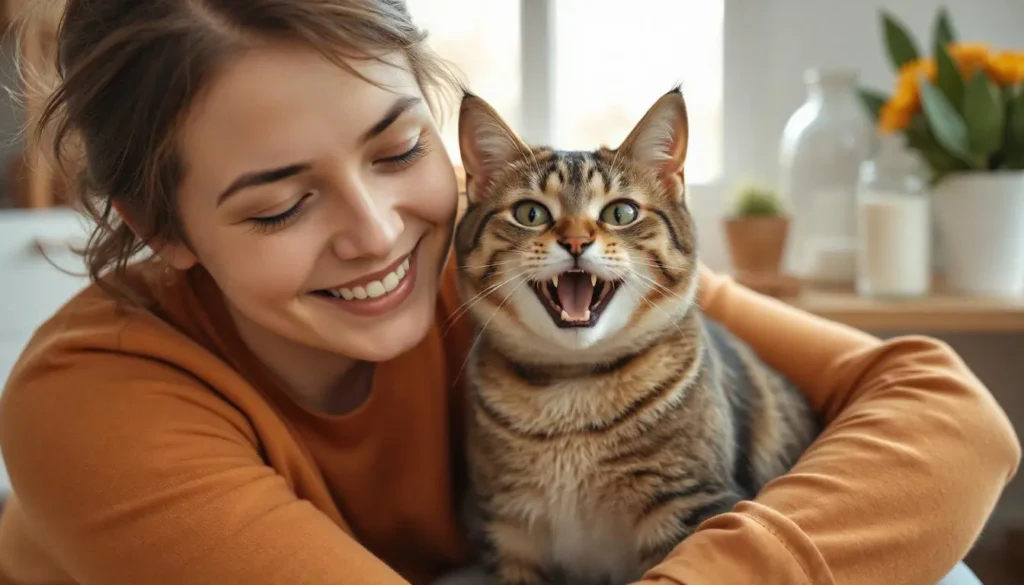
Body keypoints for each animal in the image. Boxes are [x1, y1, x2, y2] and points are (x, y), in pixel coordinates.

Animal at [452, 88, 819, 585]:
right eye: (530, 213)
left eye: (620, 212)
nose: (575, 242)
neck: (572, 385)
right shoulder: (505, 525)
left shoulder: (688, 505)